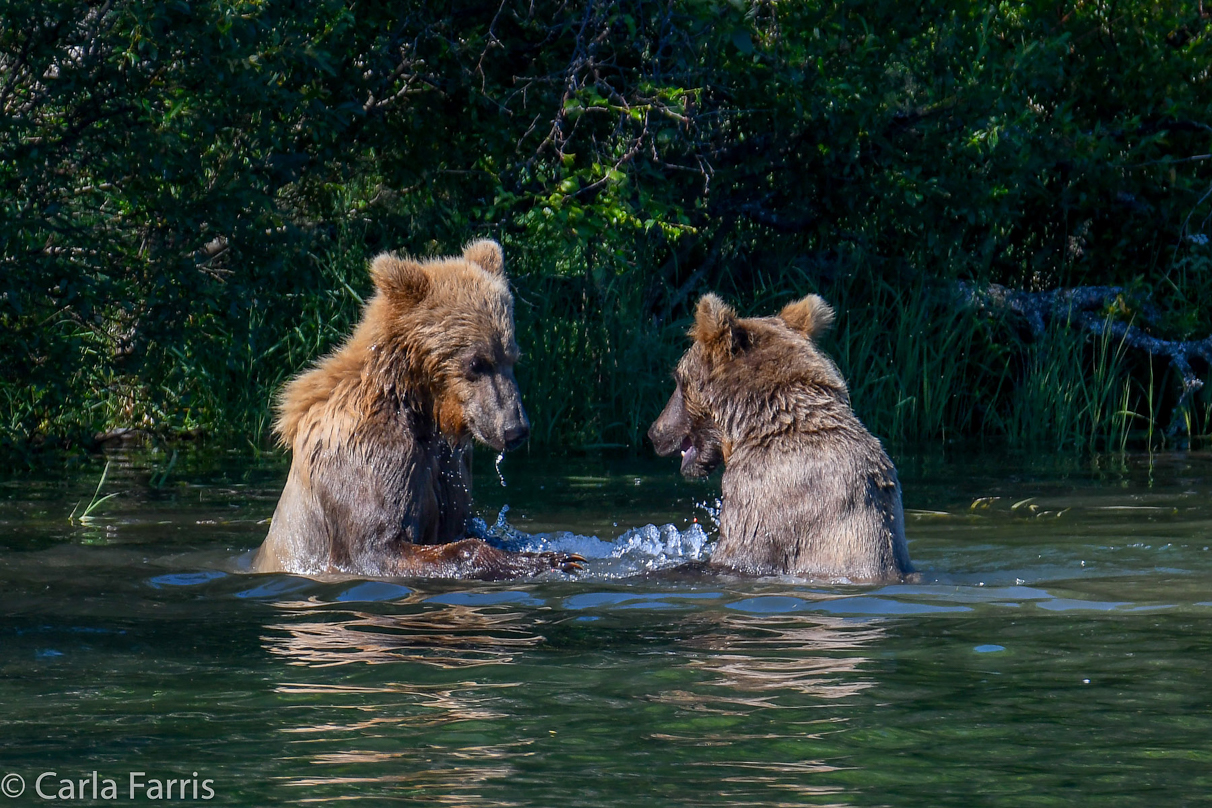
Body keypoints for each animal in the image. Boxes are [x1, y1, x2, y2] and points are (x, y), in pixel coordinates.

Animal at [250, 237, 581, 579]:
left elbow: (460, 520)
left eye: (512, 357)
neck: (418, 405)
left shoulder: (448, 461)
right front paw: (550, 558)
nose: (515, 429)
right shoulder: (368, 455)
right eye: (477, 362)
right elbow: (375, 547)